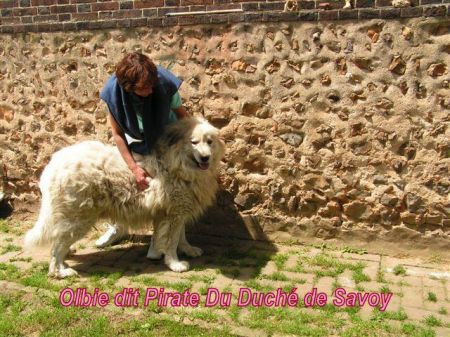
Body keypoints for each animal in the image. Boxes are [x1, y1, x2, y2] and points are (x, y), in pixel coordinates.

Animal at [24, 117, 225, 276]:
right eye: (194, 142)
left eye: (209, 142)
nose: (205, 158)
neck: (178, 164)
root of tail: (53, 164)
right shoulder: (173, 213)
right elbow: (171, 241)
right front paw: (175, 264)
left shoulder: (178, 208)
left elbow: (181, 236)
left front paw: (188, 250)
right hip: (78, 218)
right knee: (56, 246)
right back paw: (61, 271)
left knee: (58, 241)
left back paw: (65, 260)